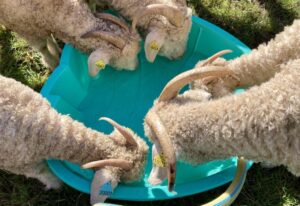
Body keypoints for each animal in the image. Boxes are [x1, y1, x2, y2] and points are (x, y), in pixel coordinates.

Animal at [0, 0, 141, 75]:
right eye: (119, 58)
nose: (137, 67)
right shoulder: (23, 26)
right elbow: (43, 47)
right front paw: (52, 63)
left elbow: (49, 38)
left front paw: (57, 51)